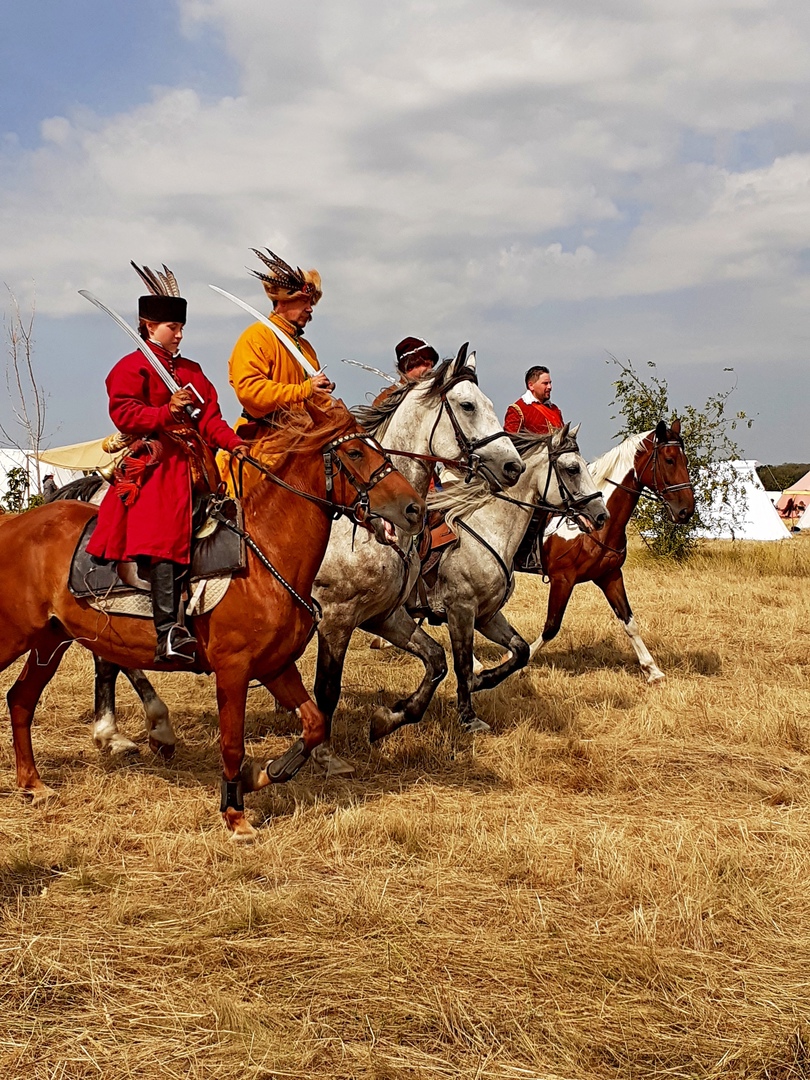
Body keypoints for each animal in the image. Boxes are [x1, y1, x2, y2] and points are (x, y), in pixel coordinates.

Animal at [1, 401, 425, 838]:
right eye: (355, 452)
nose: (415, 509)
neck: (263, 555)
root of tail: (13, 524)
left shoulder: (275, 667)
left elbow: (313, 723)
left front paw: (263, 774)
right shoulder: (234, 671)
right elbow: (233, 743)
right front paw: (235, 815)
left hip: (50, 641)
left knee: (21, 700)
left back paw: (34, 784)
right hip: (15, 636)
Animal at [425, 425, 609, 730]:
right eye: (572, 469)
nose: (602, 514)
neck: (487, 531)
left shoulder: (487, 616)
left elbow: (520, 651)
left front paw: (481, 680)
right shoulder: (461, 611)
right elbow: (462, 663)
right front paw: (468, 716)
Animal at [527, 416, 699, 678]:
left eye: (685, 460)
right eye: (669, 460)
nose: (686, 510)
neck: (594, 526)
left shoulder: (610, 576)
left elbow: (629, 621)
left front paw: (652, 669)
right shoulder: (562, 579)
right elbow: (551, 626)